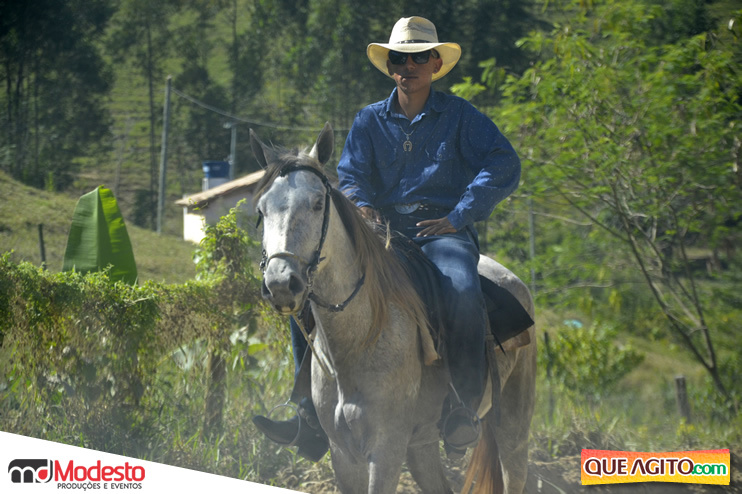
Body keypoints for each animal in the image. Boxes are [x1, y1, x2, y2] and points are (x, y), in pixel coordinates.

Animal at [251, 123, 536, 494]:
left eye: (316, 203)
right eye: (261, 210)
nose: (281, 283)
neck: (360, 336)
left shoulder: (386, 449)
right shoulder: (343, 453)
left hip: (514, 430)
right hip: (422, 446)